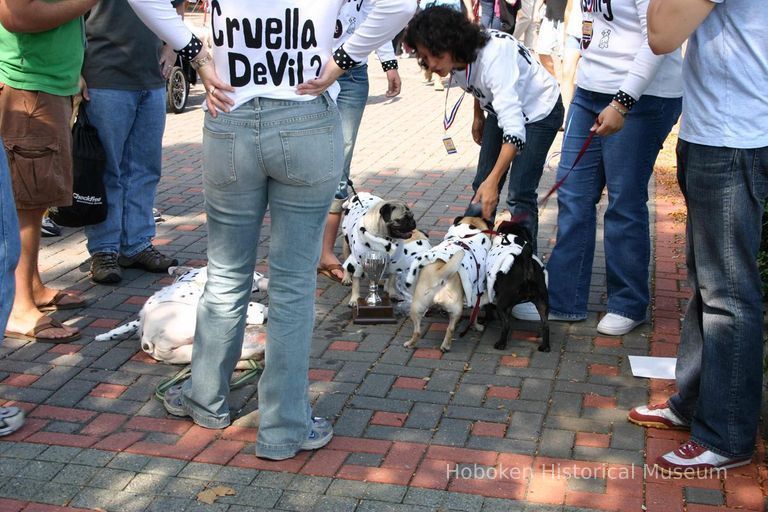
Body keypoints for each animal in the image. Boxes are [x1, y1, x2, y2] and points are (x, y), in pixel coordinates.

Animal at [404, 216, 488, 352]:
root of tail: (440, 273)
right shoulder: (477, 292)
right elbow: (474, 315)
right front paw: (477, 326)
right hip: (456, 309)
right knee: (451, 328)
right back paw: (446, 346)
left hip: (417, 306)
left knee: (417, 331)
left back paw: (410, 343)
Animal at [488, 220, 548, 352]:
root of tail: (526, 263)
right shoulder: (509, 306)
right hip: (542, 302)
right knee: (545, 324)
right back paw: (545, 346)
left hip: (501, 304)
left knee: (506, 325)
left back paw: (501, 343)